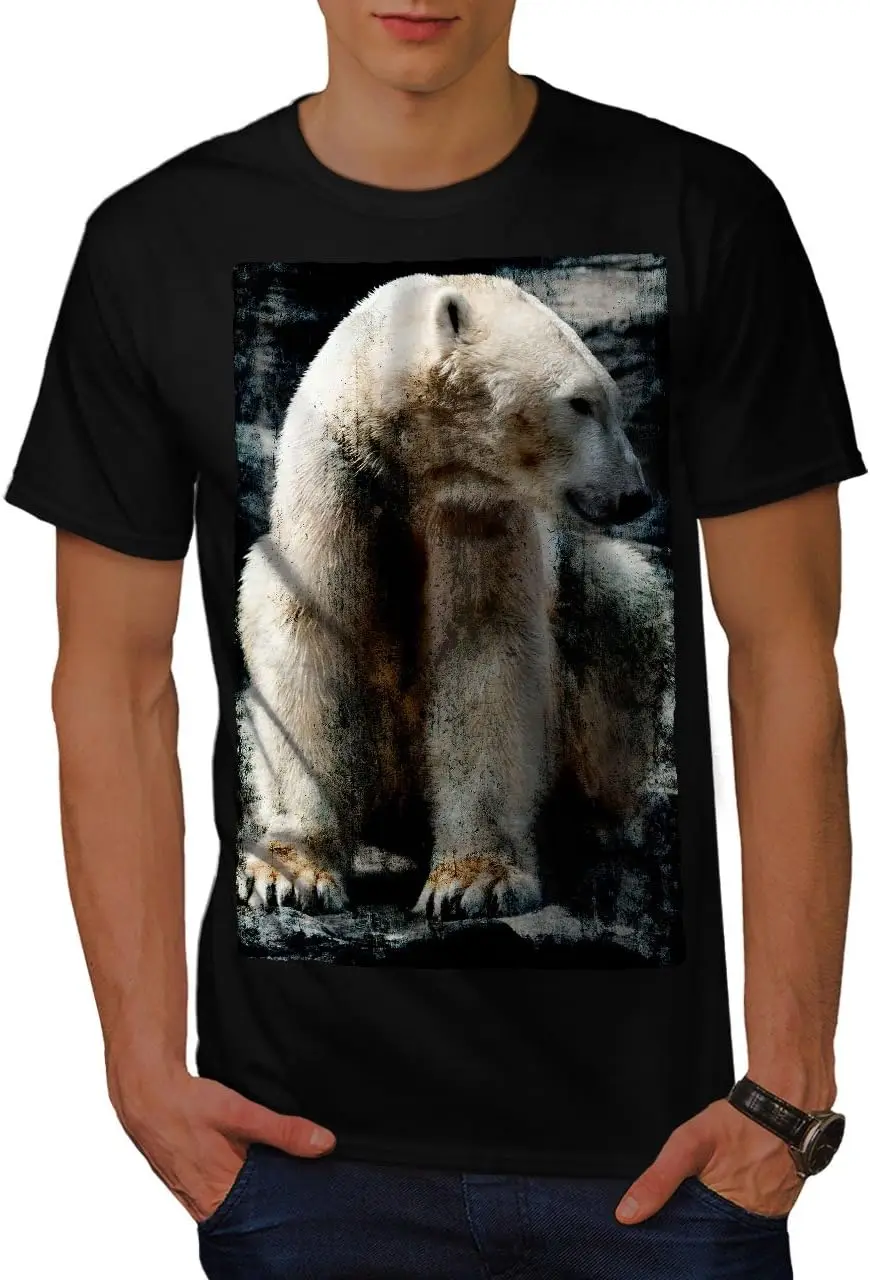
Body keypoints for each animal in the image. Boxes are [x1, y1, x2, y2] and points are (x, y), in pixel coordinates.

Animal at [236, 272, 672, 920]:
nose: (635, 495)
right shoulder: (339, 482)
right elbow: (313, 640)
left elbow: (483, 651)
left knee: (619, 607)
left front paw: (474, 882)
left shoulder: (480, 512)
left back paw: (597, 826)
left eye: (611, 402)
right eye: (582, 402)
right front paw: (290, 874)